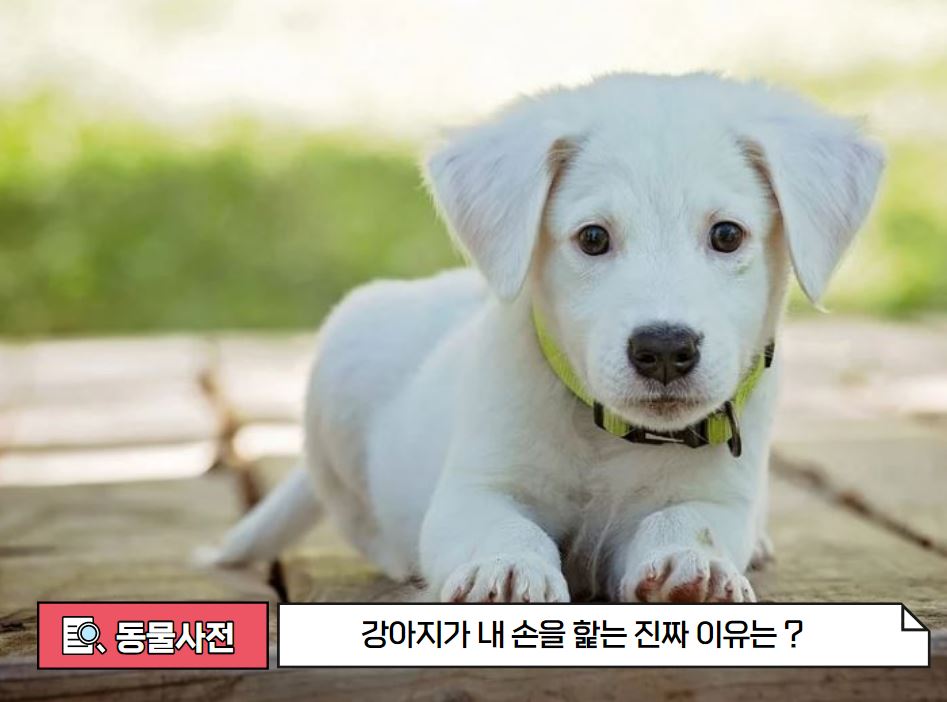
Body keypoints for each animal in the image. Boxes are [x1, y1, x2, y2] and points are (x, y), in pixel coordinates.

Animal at [212, 73, 883, 603]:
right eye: (592, 238)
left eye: (726, 235)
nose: (665, 350)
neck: (607, 435)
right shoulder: (474, 490)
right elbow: (506, 526)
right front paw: (506, 568)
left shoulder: (719, 497)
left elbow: (687, 521)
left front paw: (692, 565)